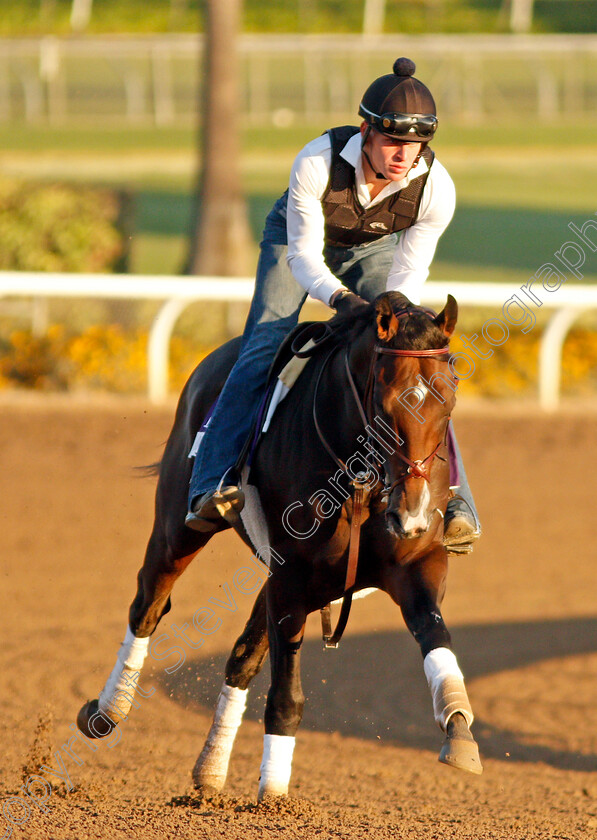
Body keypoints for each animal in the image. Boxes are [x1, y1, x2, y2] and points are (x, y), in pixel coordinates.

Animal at [77, 294, 482, 800]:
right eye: (386, 406)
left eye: (449, 401)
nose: (413, 513)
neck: (362, 485)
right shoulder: (291, 576)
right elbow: (287, 694)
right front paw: (273, 794)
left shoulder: (415, 564)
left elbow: (434, 633)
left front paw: (459, 728)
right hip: (178, 527)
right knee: (149, 604)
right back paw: (108, 710)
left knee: (241, 657)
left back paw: (210, 769)